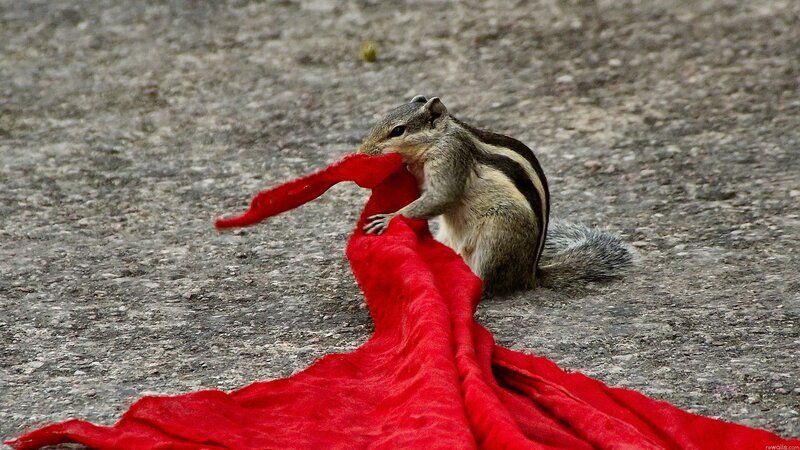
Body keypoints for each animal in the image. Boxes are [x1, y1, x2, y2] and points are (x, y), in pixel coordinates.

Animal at [358, 95, 633, 294]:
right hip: (450, 239)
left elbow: (442, 197)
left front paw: (388, 218)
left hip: (497, 235)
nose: (361, 152)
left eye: (398, 131)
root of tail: (529, 274)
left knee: (487, 284)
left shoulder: (451, 158)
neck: (442, 135)